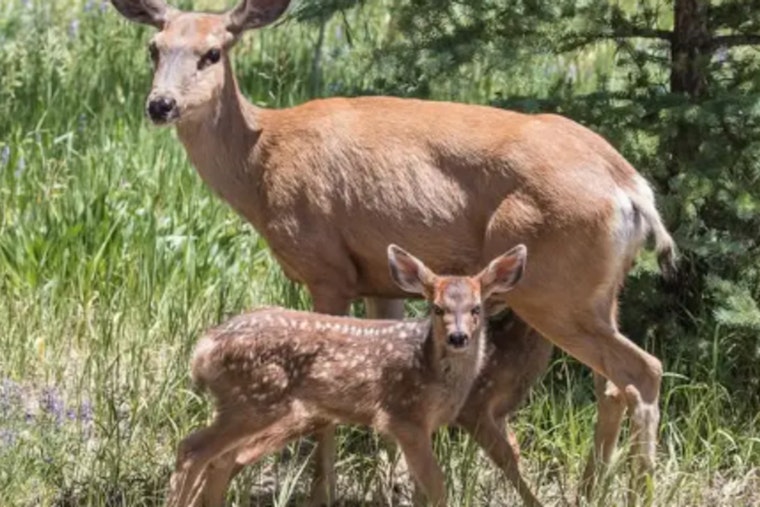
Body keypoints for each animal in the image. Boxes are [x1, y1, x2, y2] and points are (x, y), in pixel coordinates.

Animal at [168, 244, 527, 507]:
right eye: (437, 308)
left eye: (476, 309)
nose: (458, 337)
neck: (430, 370)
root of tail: (203, 348)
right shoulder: (402, 417)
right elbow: (437, 487)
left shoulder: (421, 427)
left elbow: (422, 489)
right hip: (255, 400)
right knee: (193, 449)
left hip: (244, 404)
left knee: (220, 458)